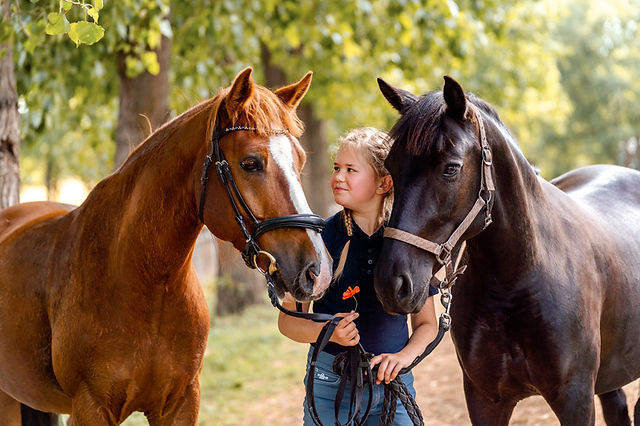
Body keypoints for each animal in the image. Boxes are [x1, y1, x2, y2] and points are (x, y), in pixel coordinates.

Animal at [0, 67, 332, 425]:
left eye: (300, 160)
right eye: (250, 163)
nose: (318, 270)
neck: (147, 283)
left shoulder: (181, 403)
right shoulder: (90, 408)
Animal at [373, 75, 640, 425]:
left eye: (450, 168)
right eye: (391, 166)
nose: (391, 284)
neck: (516, 280)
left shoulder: (576, 399)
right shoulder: (485, 399)